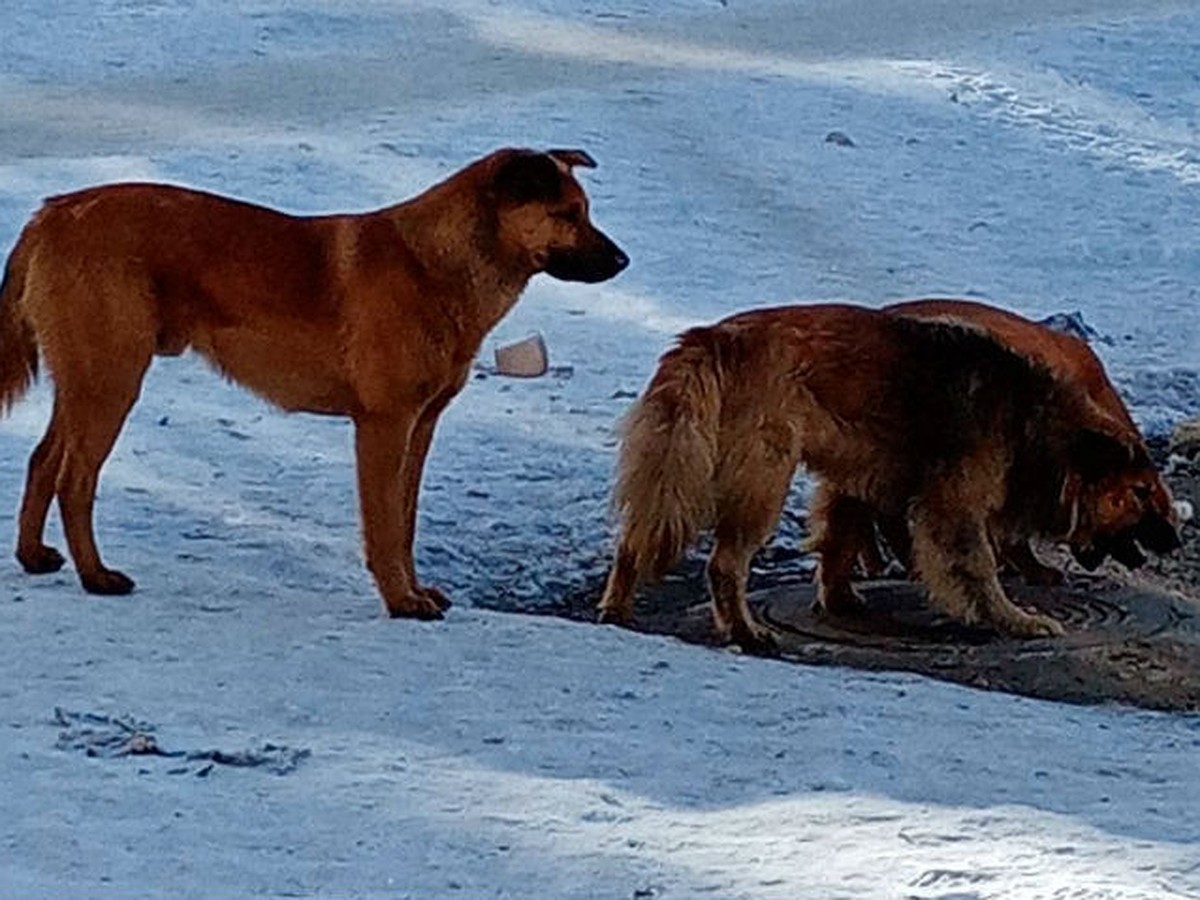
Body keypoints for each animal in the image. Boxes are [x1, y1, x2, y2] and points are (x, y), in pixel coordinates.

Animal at [0, 146, 633, 619]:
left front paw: (414, 590)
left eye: (586, 209)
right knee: (74, 481)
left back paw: (33, 557)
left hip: (86, 382)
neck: (436, 265)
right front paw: (401, 601)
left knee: (42, 461)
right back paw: (96, 576)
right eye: (566, 214)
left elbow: (405, 521)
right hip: (111, 382)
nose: (624, 262)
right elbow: (384, 526)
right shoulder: (383, 427)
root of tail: (50, 213)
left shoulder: (419, 429)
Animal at [600, 307, 1171, 652]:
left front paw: (838, 599)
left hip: (675, 470)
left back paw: (617, 610)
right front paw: (1014, 620)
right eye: (1141, 491)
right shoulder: (955, 506)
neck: (1035, 420)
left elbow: (838, 541)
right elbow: (978, 569)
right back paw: (744, 630)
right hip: (761, 479)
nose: (1175, 538)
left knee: (633, 541)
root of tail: (711, 338)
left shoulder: (852, 479)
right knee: (724, 565)